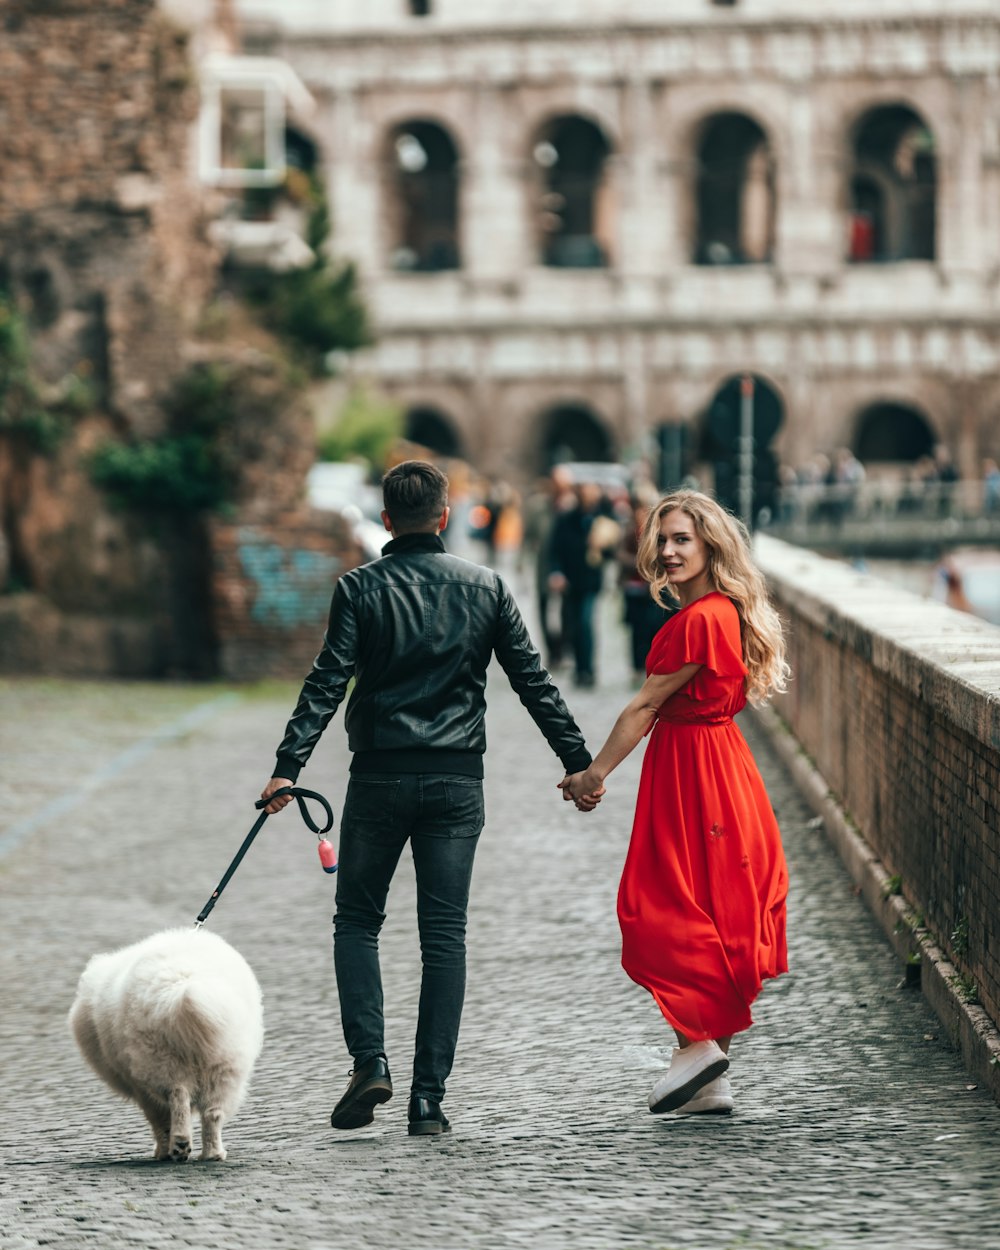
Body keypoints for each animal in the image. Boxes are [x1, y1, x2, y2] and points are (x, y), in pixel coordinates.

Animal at [68, 930, 263, 1160]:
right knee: (212, 1114)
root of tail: (182, 985)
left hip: (159, 1061)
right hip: (224, 1067)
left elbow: (159, 1119)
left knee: (178, 1098)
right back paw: (212, 1154)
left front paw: (162, 1150)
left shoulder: (140, 1086)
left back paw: (179, 1145)